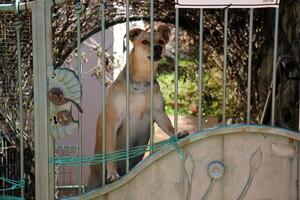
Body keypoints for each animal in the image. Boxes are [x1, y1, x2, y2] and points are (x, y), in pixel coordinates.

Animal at [86, 24, 188, 190]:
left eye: (161, 41)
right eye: (145, 41)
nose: (158, 47)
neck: (142, 83)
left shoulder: (159, 113)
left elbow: (168, 126)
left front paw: (177, 133)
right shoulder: (112, 121)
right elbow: (111, 151)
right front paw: (112, 173)